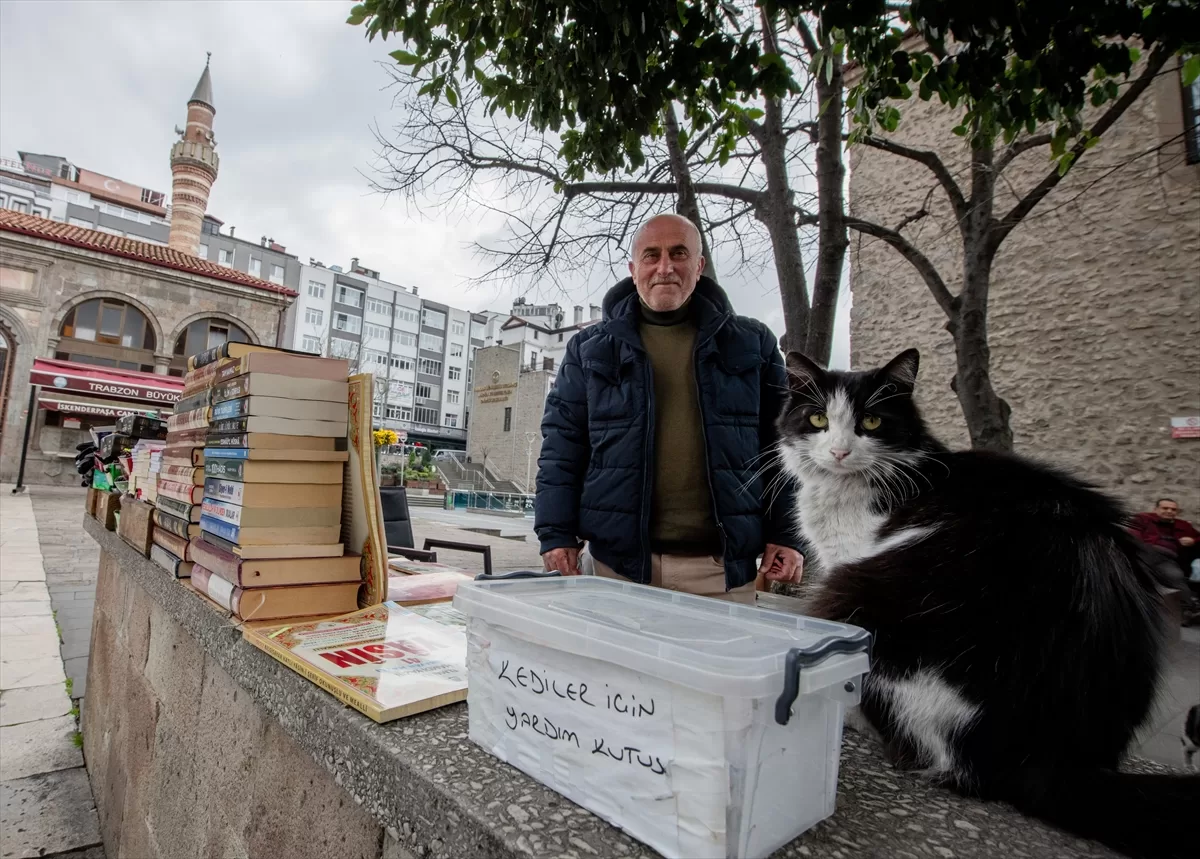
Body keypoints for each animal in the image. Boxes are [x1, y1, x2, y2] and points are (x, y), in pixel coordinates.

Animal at [777, 345, 1200, 854]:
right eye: (818, 418)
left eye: (872, 422)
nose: (840, 451)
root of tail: (1052, 756)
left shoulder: (847, 559)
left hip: (858, 592)